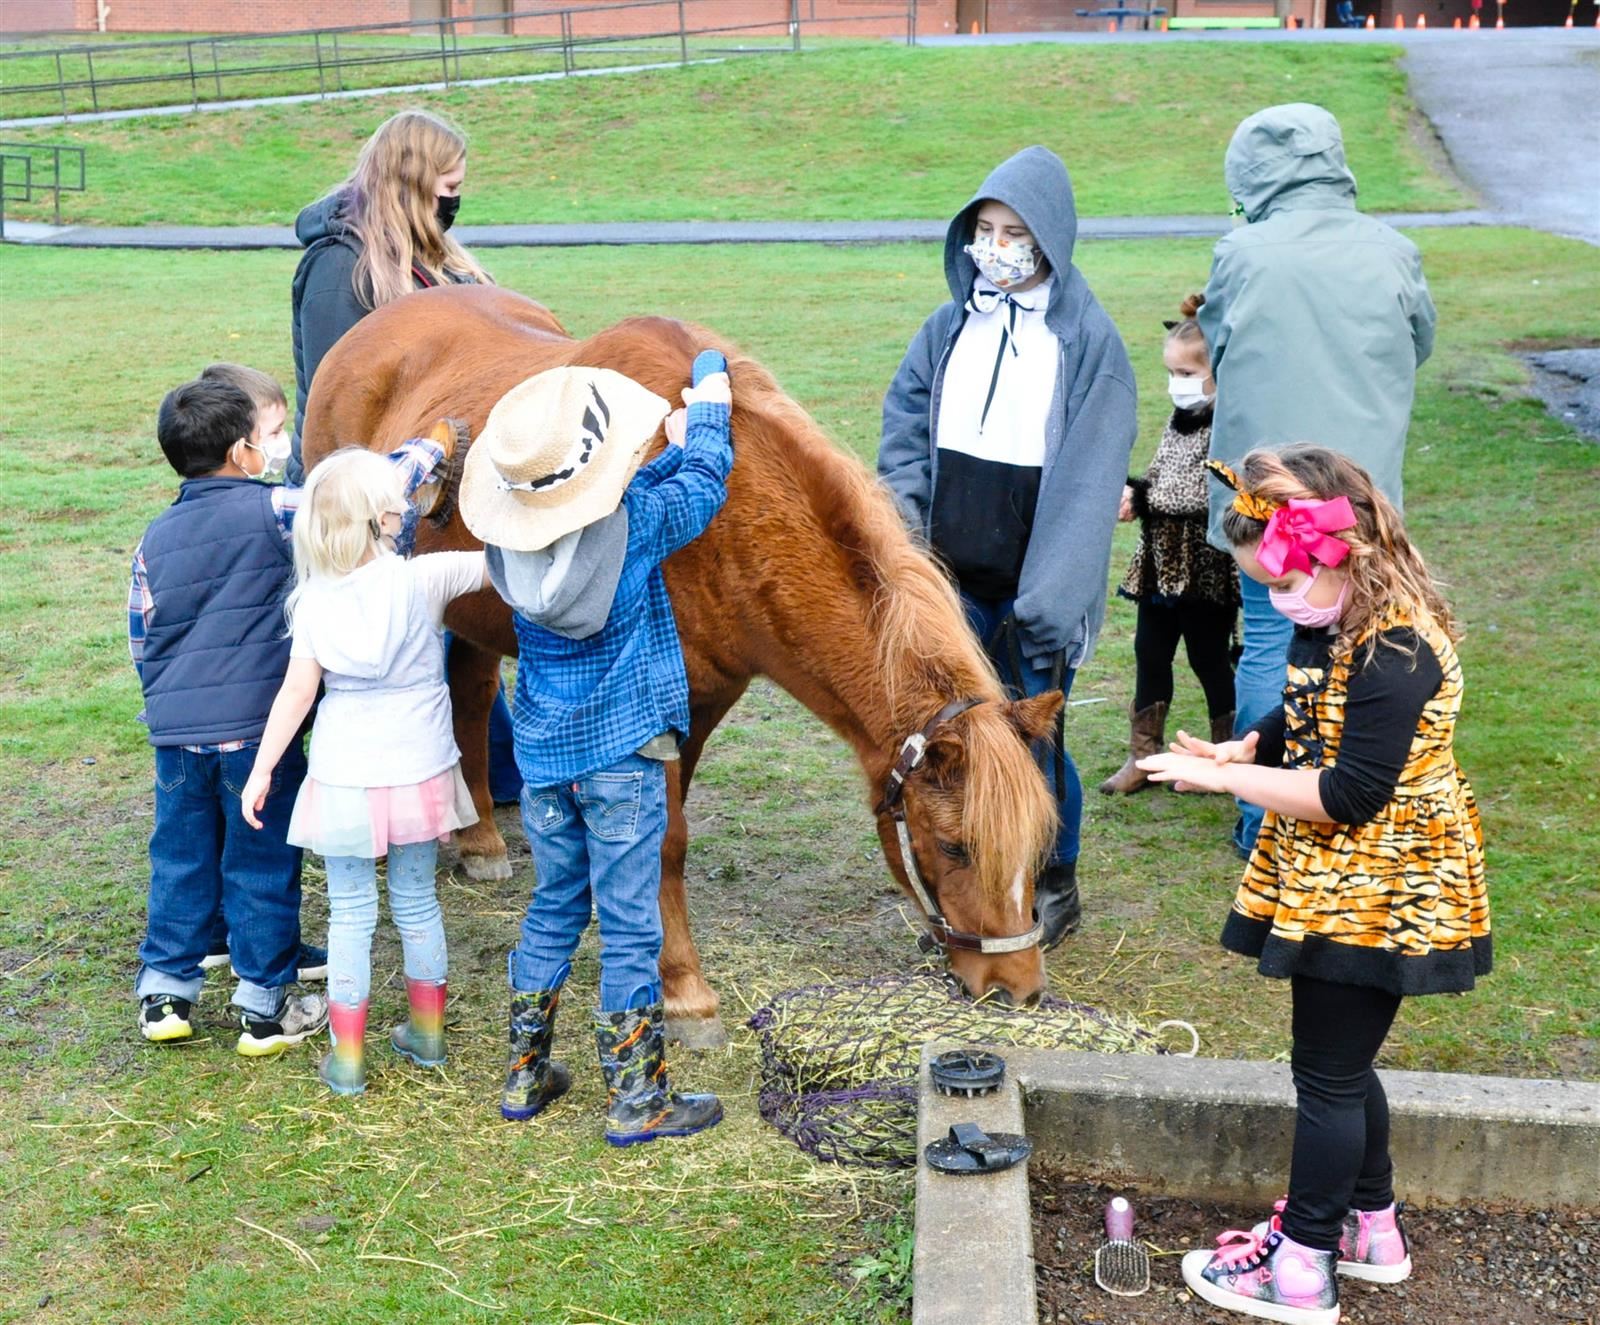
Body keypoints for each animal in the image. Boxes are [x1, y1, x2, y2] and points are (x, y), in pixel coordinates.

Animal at [308, 281, 1062, 1043]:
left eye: (1037, 846)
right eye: (956, 846)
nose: (1017, 987)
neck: (723, 519)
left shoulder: (702, 704)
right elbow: (663, 846)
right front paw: (683, 991)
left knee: (468, 694)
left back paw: (482, 839)